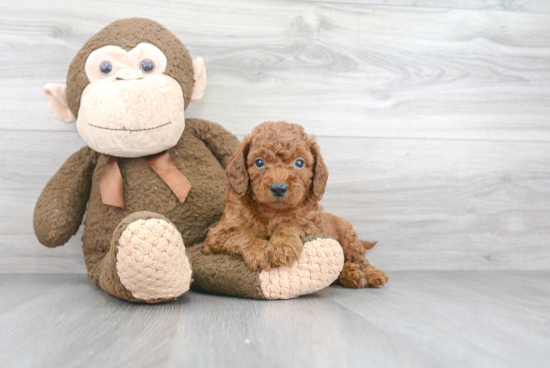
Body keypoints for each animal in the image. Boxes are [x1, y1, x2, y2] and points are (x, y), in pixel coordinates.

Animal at [205, 122, 390, 288]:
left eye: (299, 163)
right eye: (259, 162)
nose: (278, 188)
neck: (273, 212)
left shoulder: (311, 225)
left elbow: (290, 224)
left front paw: (282, 247)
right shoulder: (215, 236)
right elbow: (242, 235)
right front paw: (260, 252)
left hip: (348, 237)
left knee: (359, 259)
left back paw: (369, 273)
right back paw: (351, 274)